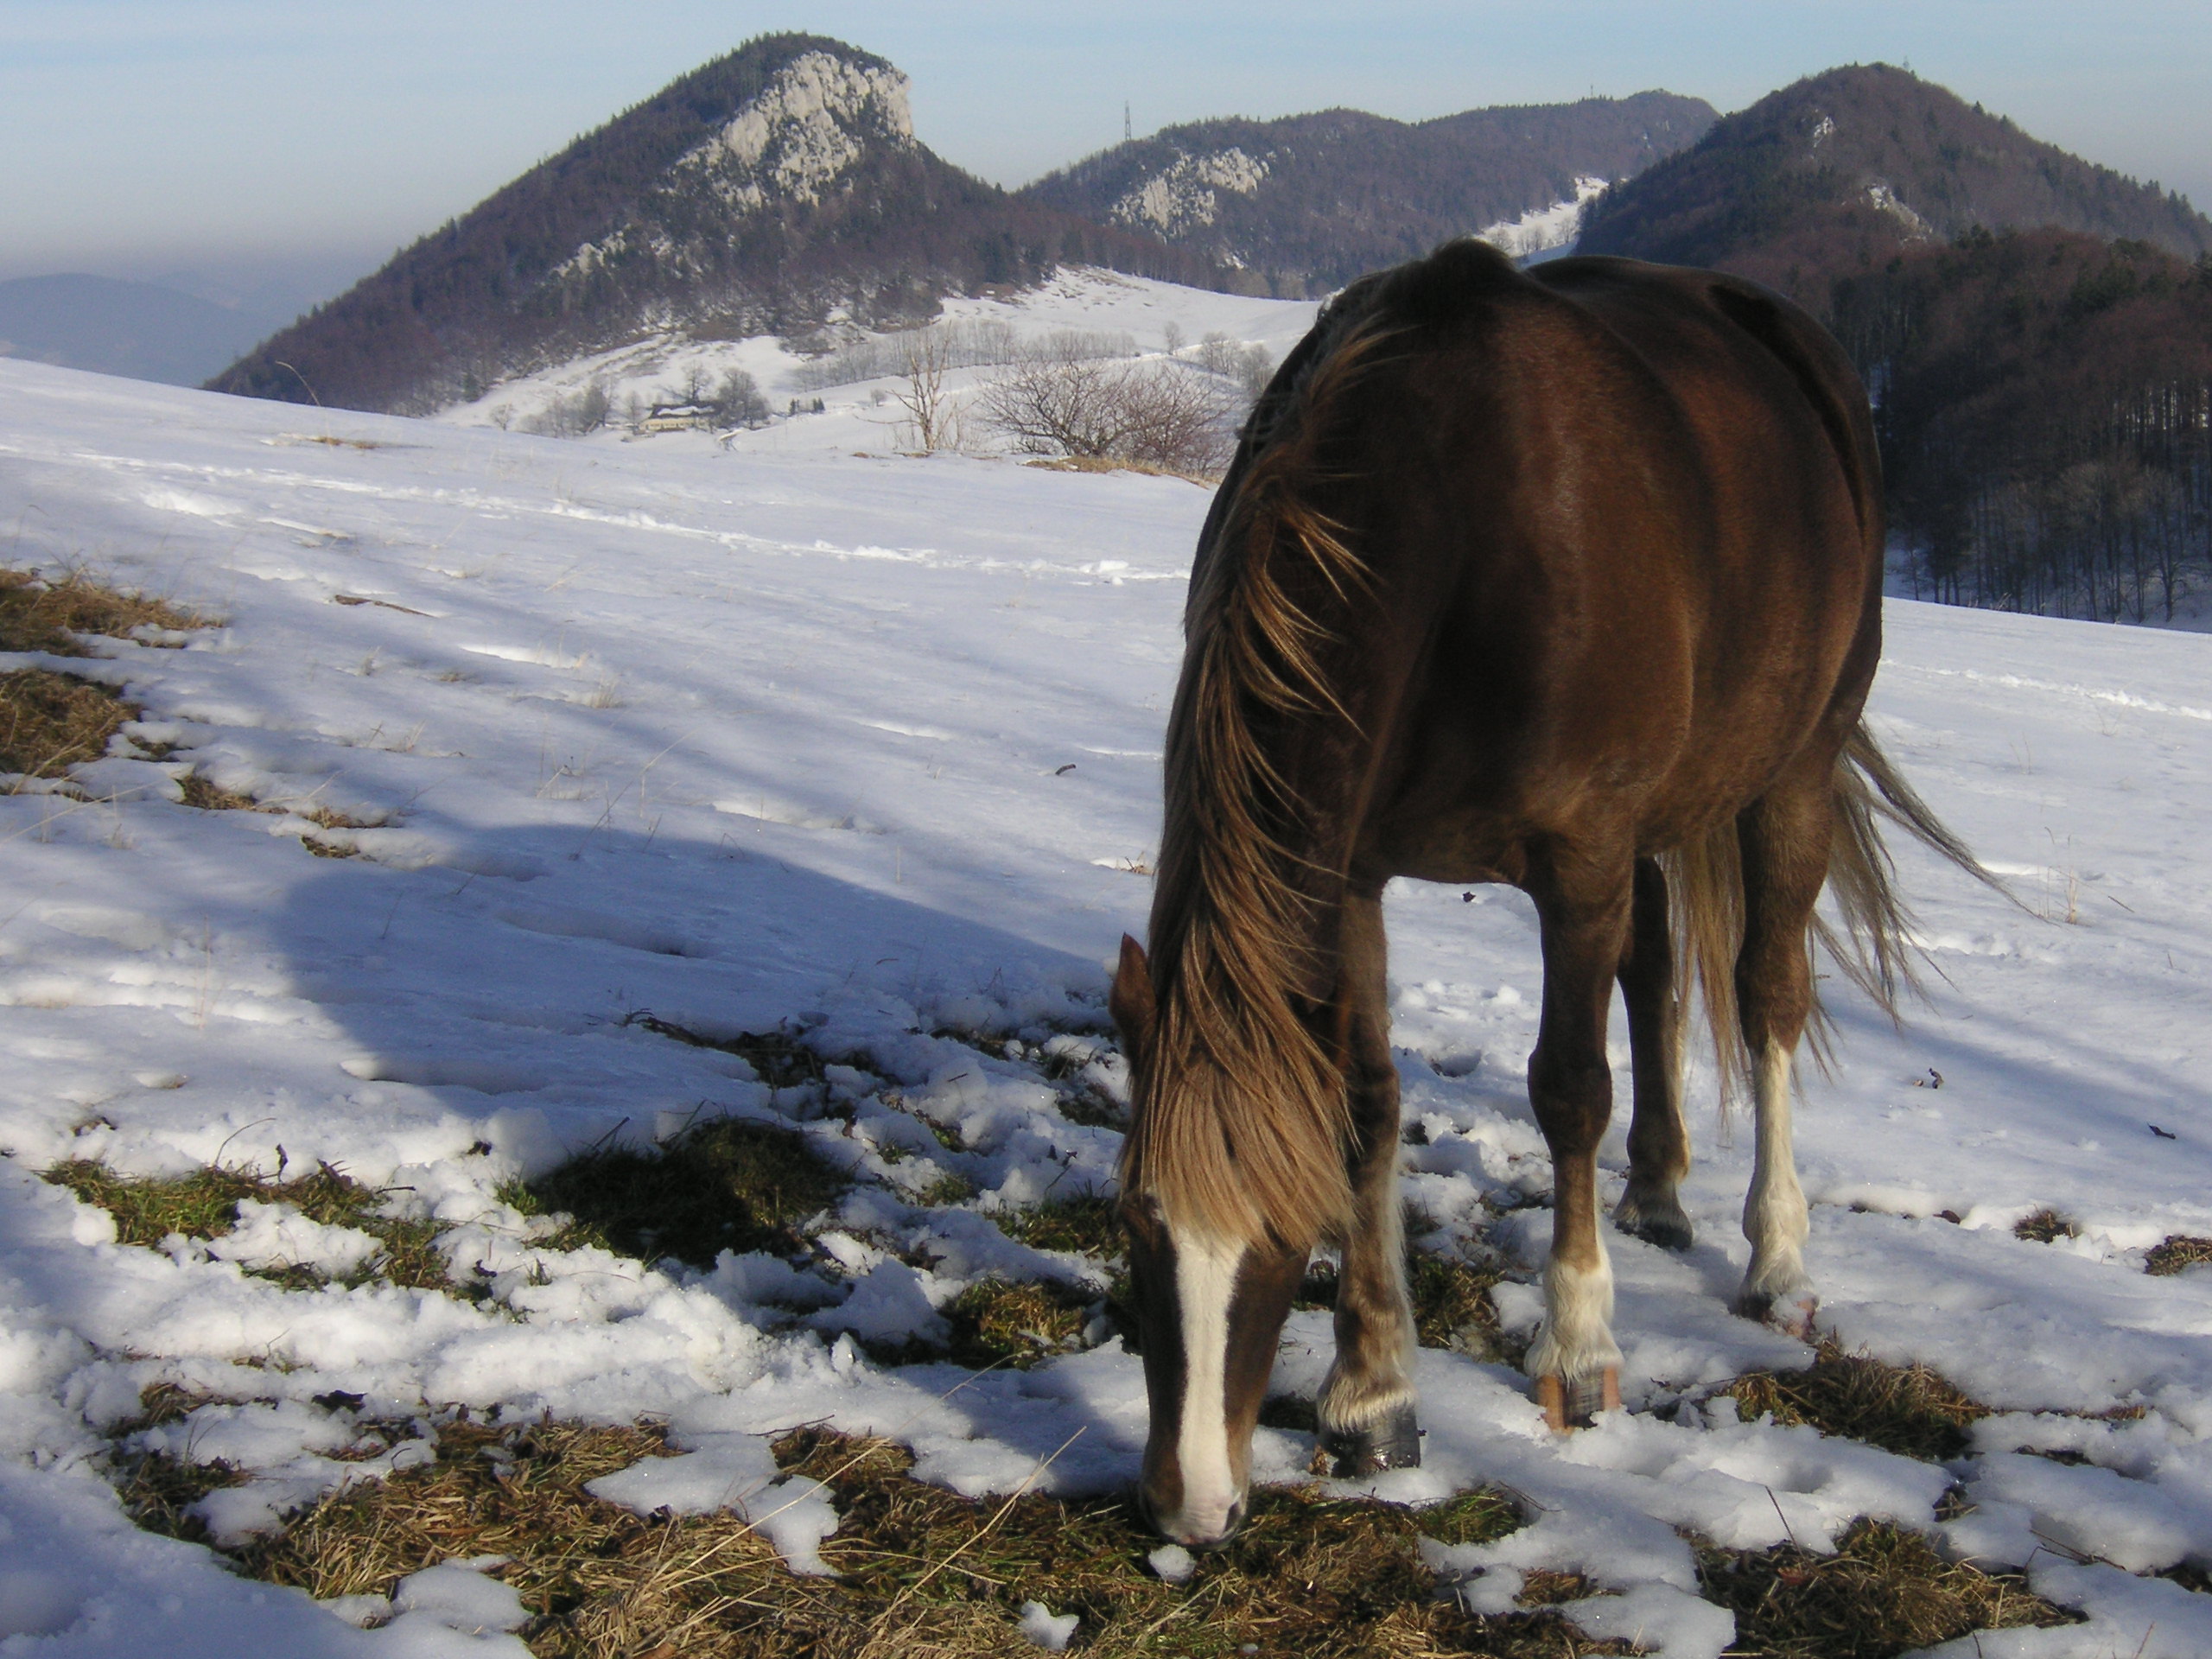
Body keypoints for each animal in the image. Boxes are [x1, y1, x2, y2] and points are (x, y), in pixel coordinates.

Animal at [1106, 239, 1991, 1557]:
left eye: (1277, 1232)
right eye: (1135, 1219)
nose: (1192, 1507)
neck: (1457, 526)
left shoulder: (1576, 862)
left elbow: (1569, 1089)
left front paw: (1577, 1350)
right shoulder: (1354, 876)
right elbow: (1366, 1103)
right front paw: (1374, 1393)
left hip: (1794, 768)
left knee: (1765, 994)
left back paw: (1776, 1259)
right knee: (1658, 964)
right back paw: (1660, 1190)